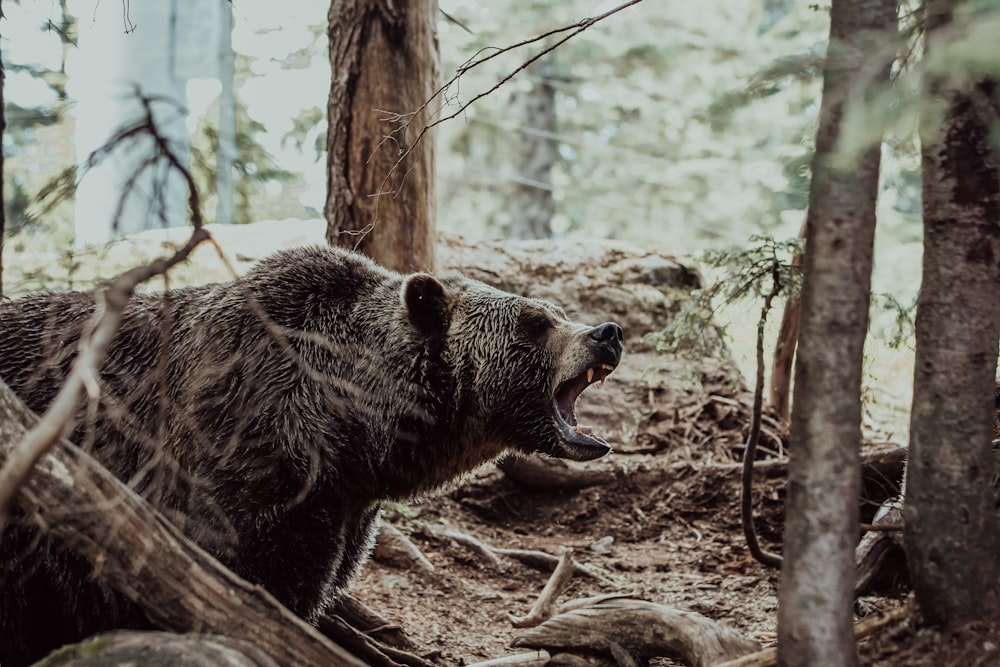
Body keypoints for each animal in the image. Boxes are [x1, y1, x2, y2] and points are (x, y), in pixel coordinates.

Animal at [0, 247, 624, 667]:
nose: (608, 331)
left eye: (553, 310)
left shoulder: (341, 508)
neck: (350, 428)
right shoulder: (245, 461)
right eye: (534, 322)